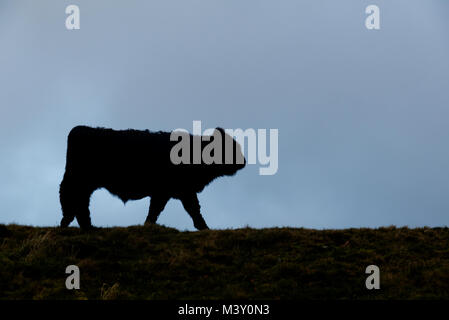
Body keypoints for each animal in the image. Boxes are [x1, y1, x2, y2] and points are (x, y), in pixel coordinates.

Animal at [58, 125, 245, 230]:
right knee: (73, 200)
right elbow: (185, 209)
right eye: (230, 148)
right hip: (80, 181)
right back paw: (79, 225)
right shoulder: (174, 191)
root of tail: (80, 129)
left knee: (78, 203)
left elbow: (176, 209)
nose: (243, 161)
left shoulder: (175, 192)